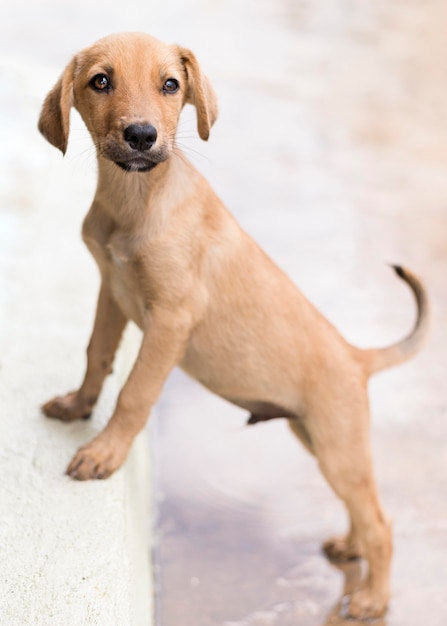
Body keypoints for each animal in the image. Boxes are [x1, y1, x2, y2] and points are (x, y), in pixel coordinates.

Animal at [38, 33, 430, 616]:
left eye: (170, 84)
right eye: (100, 81)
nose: (141, 136)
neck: (138, 201)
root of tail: (357, 356)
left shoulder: (171, 321)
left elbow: (134, 393)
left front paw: (104, 451)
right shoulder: (112, 292)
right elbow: (97, 356)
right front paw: (77, 407)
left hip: (338, 445)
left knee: (381, 521)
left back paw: (371, 600)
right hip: (315, 437)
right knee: (364, 509)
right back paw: (349, 547)